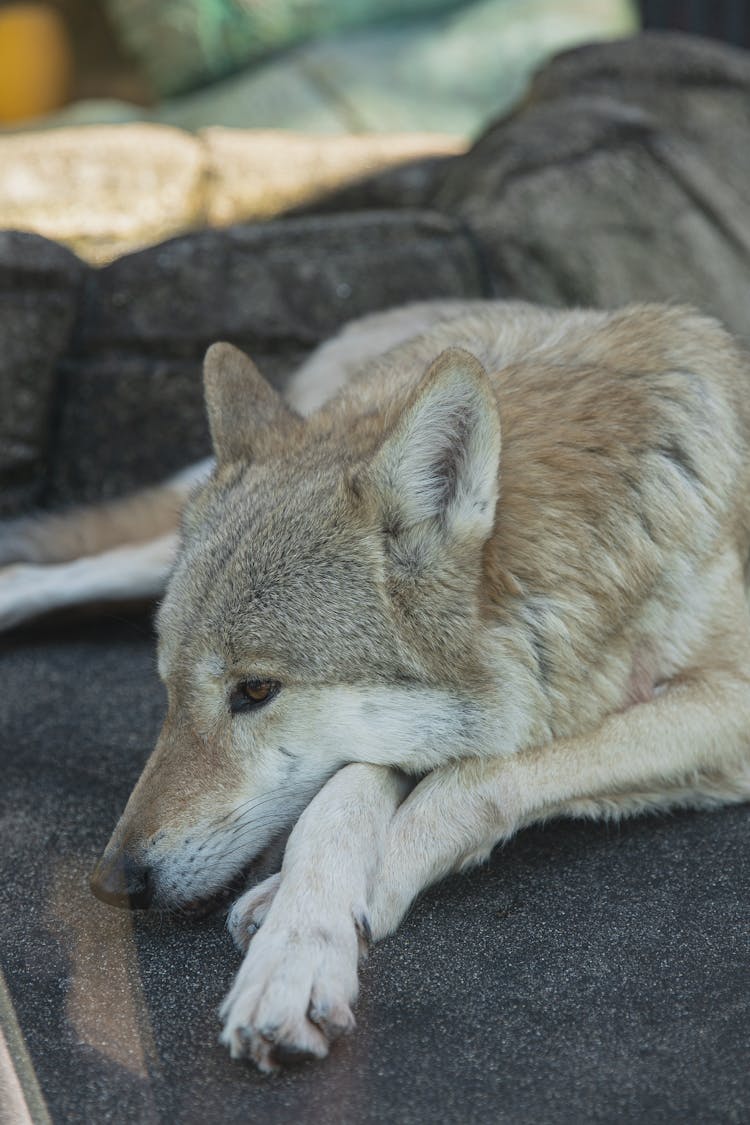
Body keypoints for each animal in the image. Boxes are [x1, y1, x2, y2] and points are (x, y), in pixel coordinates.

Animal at [1, 301, 750, 1071]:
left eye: (256, 690)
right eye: (169, 691)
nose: (114, 883)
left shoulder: (728, 705)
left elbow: (478, 778)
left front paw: (308, 920)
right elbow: (348, 794)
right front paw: (298, 946)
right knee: (49, 571)